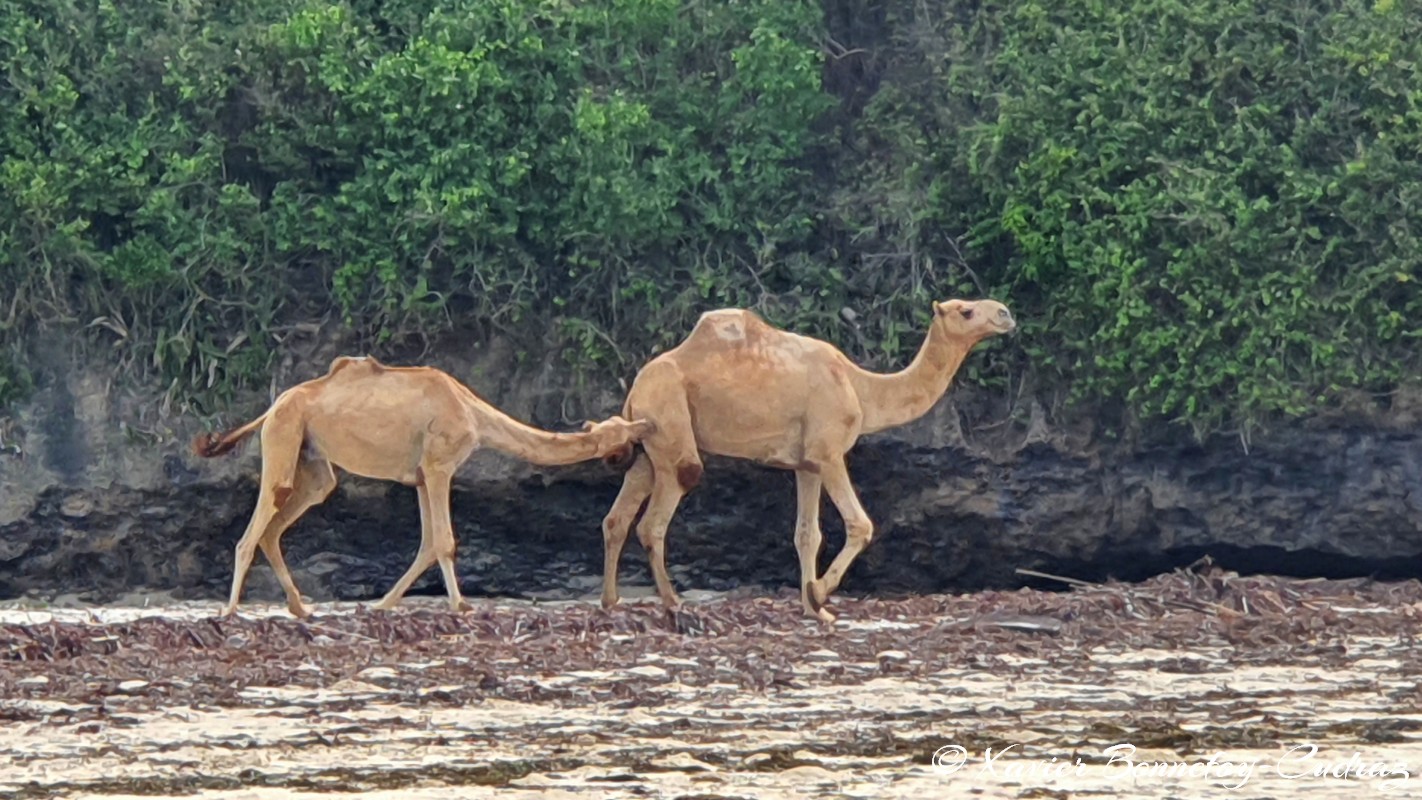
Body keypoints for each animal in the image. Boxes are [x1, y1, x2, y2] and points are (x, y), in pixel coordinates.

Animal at [193, 356, 654, 619]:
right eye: (622, 431)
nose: (645, 427)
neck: (474, 415)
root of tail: (273, 405)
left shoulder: (418, 476)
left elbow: (428, 543)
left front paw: (381, 603)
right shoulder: (438, 466)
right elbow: (445, 541)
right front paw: (461, 604)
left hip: (314, 463)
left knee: (279, 523)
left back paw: (299, 606)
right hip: (283, 437)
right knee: (254, 526)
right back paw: (230, 610)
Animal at [594, 296, 1018, 622]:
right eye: (966, 311)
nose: (1005, 312)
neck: (860, 388)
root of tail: (635, 388)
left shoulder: (806, 464)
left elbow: (807, 534)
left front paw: (815, 609)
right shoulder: (828, 452)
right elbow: (860, 524)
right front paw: (818, 594)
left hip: (648, 447)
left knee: (617, 517)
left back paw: (611, 601)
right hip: (671, 424)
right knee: (656, 518)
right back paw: (673, 602)